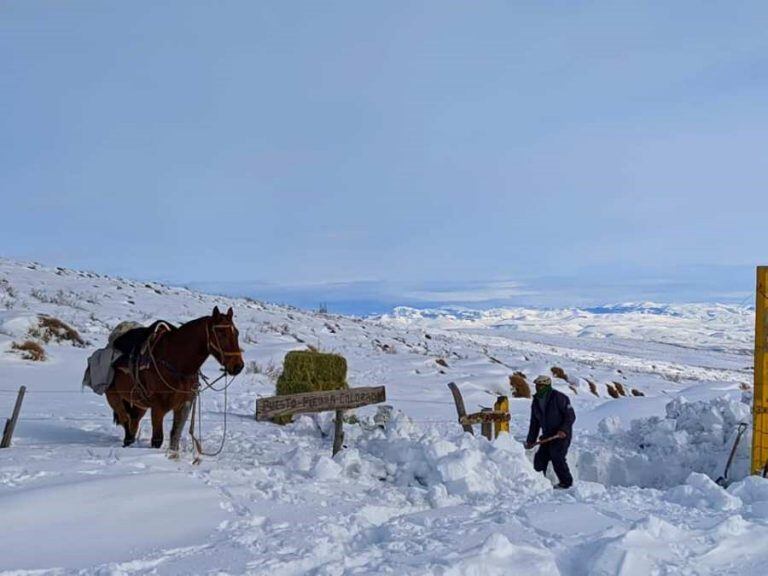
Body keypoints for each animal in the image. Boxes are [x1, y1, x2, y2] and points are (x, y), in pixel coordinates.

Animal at [105, 304, 243, 452]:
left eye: (236, 333)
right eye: (221, 333)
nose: (238, 366)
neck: (176, 363)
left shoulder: (184, 406)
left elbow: (175, 437)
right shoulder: (158, 409)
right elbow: (157, 440)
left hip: (138, 405)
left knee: (133, 425)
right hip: (115, 398)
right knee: (125, 421)